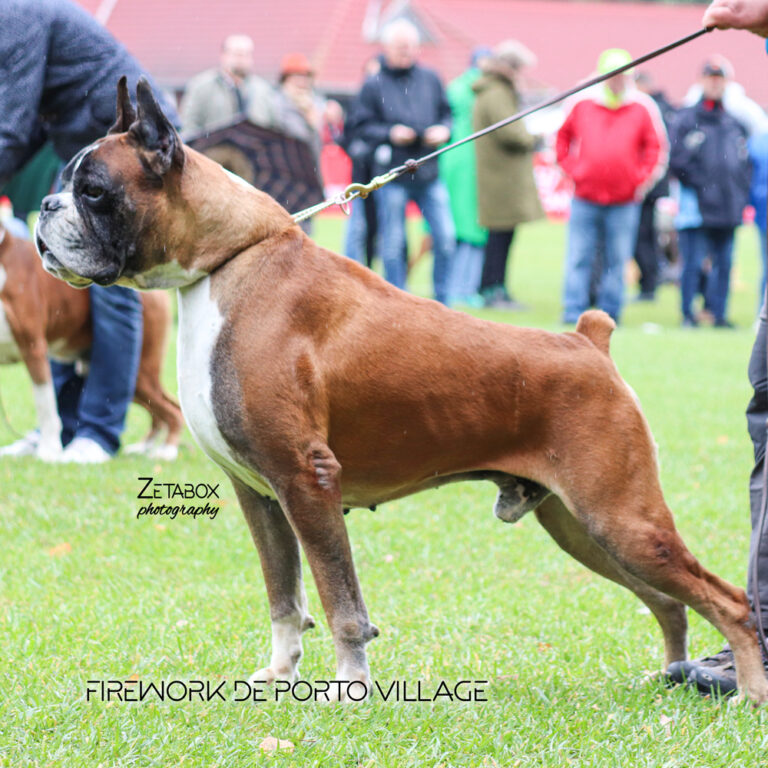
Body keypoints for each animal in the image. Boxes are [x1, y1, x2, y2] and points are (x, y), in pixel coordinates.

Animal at [0, 222, 183, 462]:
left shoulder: (33, 349)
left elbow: (46, 406)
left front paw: (49, 452)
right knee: (159, 411)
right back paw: (144, 447)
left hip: (138, 373)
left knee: (173, 410)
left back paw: (166, 451)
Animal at [33, 79, 768, 704]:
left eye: (93, 189)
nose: (43, 206)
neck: (232, 259)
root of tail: (589, 342)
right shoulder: (260, 496)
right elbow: (284, 598)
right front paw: (277, 677)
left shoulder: (307, 481)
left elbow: (339, 602)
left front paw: (350, 687)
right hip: (582, 525)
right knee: (670, 600)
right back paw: (670, 672)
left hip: (621, 518)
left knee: (729, 600)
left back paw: (747, 693)